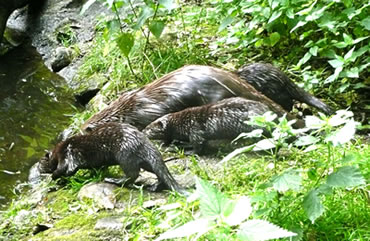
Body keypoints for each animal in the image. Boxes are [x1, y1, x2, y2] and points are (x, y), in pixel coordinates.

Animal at [29, 123, 185, 193]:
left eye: (40, 162)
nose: (36, 169)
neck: (58, 151)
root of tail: (144, 142)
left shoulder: (67, 154)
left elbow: (65, 169)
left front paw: (55, 178)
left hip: (124, 154)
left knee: (132, 174)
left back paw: (113, 180)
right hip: (144, 160)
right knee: (157, 171)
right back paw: (155, 186)